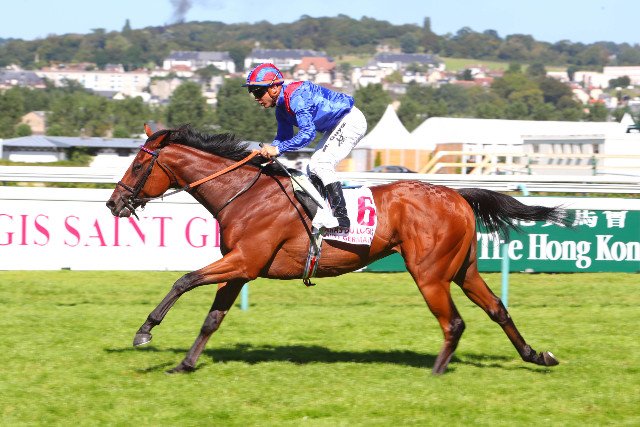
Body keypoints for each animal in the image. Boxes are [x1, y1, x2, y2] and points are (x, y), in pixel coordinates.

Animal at [107, 124, 566, 375]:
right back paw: (535, 356)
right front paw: (185, 363)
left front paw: (145, 331)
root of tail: (457, 195)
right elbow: (212, 319)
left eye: (137, 164)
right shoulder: (240, 268)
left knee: (453, 322)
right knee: (497, 309)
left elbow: (184, 280)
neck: (244, 194)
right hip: (463, 268)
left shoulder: (243, 260)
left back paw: (436, 372)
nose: (114, 203)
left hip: (430, 272)